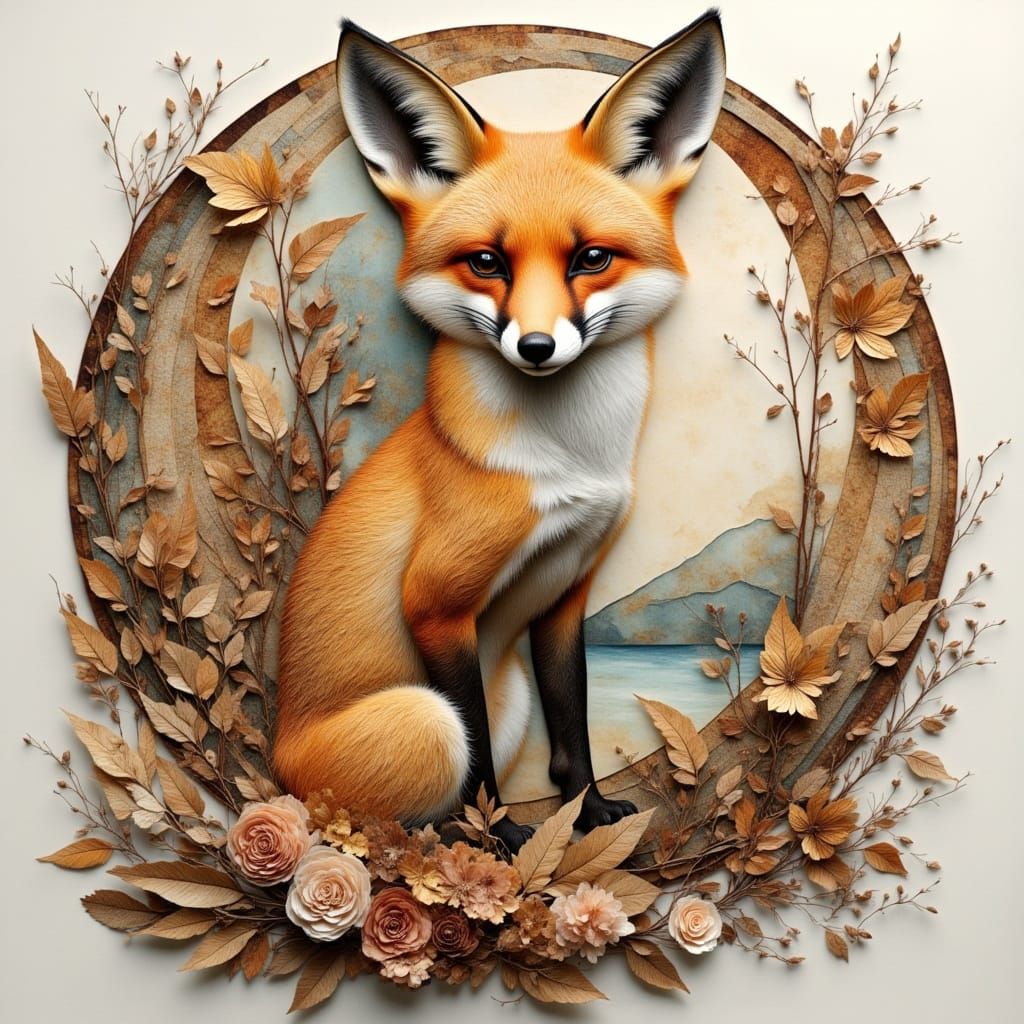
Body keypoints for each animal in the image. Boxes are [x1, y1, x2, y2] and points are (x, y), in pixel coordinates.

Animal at [273, 11, 727, 851]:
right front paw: (501, 836)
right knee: (419, 801)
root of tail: (275, 767)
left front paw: (588, 813)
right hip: (428, 719)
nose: (538, 347)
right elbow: (480, 760)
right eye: (487, 262)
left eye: (591, 258)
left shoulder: (568, 591)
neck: (570, 460)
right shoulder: (435, 604)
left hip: (507, 684)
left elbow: (572, 723)